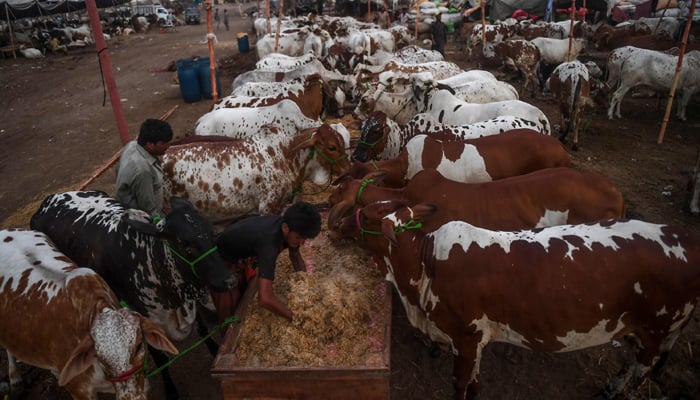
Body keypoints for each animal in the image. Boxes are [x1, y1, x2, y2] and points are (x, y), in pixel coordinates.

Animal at [29, 192, 235, 398]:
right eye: (184, 244)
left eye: (211, 231)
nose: (229, 280)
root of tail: (48, 200)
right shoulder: (141, 318)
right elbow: (160, 358)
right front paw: (170, 390)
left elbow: (203, 330)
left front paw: (215, 351)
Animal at [332, 202, 700, 400]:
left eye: (366, 215)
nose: (336, 222)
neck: (425, 264)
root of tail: (684, 236)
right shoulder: (478, 339)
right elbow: (475, 383)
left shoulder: (464, 338)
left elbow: (460, 384)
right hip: (639, 327)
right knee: (632, 361)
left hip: (657, 328)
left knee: (640, 371)